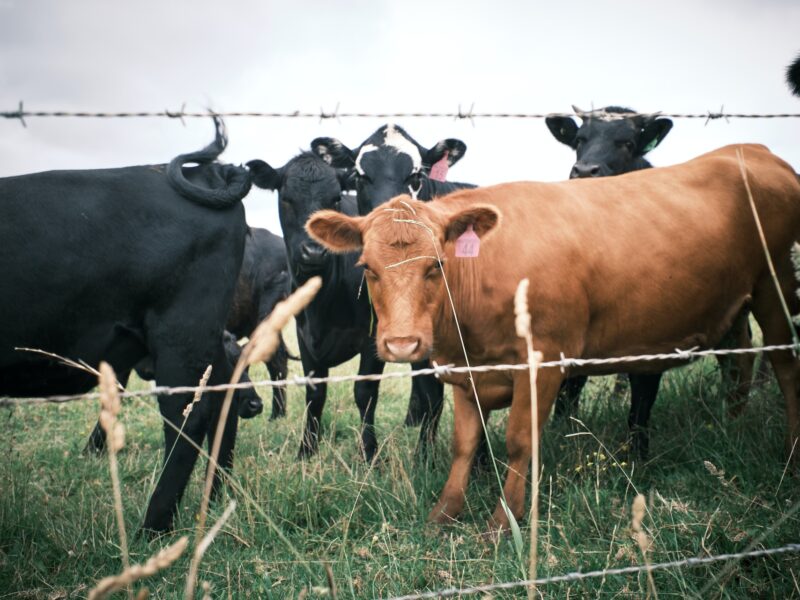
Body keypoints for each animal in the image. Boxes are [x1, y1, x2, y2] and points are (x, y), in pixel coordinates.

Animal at [0, 119, 250, 532]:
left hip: (180, 333)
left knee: (187, 418)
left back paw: (155, 526)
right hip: (202, 337)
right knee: (222, 395)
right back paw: (213, 500)